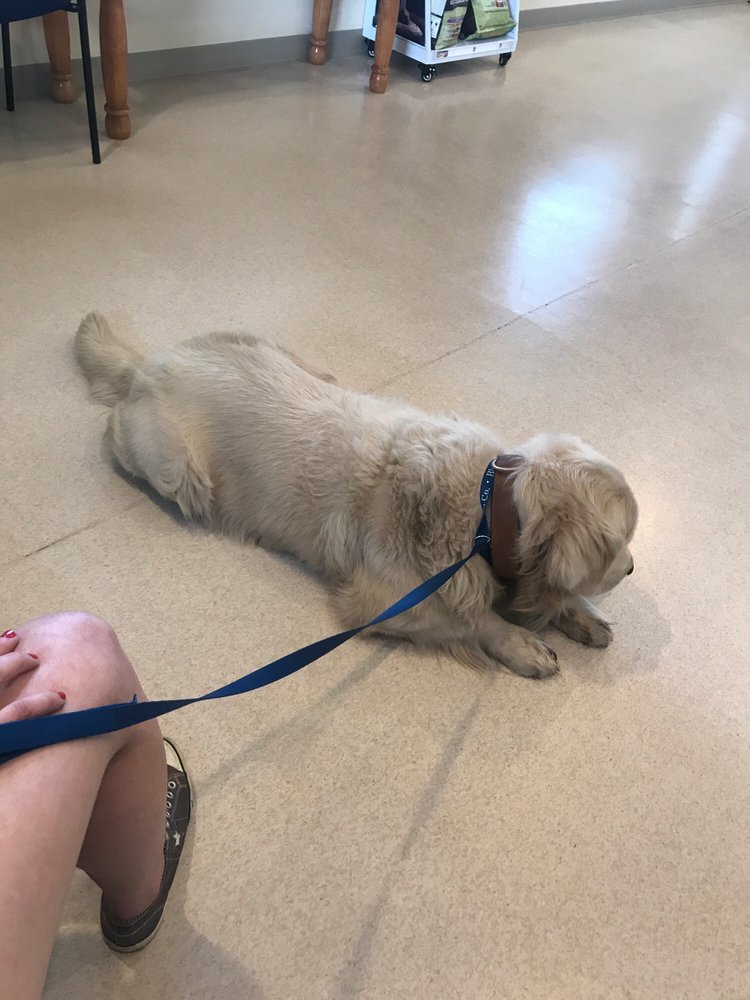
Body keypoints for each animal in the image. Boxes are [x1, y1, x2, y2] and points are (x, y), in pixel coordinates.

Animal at [74, 313, 637, 679]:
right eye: (620, 543)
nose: (632, 568)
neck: (483, 513)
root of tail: (146, 367)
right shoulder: (384, 600)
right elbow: (473, 619)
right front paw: (521, 642)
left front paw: (580, 615)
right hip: (176, 470)